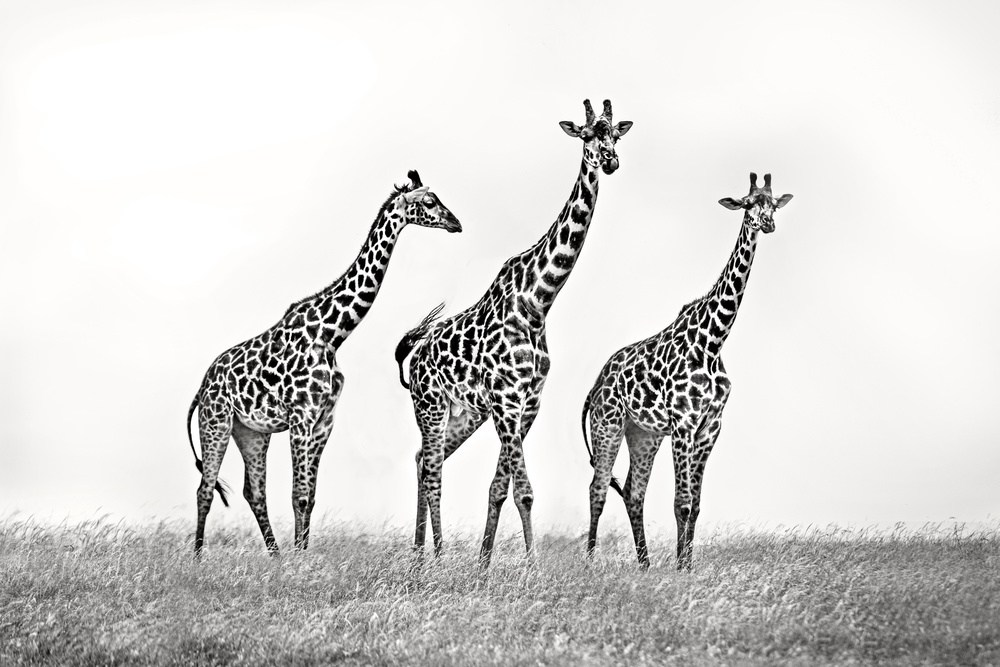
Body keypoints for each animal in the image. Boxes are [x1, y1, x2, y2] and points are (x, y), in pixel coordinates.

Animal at [186, 171, 461, 557]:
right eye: (429, 201)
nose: (456, 223)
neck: (332, 333)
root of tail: (200, 388)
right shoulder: (301, 416)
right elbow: (299, 495)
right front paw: (300, 561)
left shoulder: (324, 420)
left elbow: (310, 496)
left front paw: (301, 555)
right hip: (216, 421)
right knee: (205, 488)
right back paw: (198, 557)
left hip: (251, 432)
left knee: (253, 491)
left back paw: (275, 555)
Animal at [394, 100, 633, 568]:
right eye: (587, 135)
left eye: (616, 134)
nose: (611, 161)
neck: (539, 301)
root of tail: (415, 356)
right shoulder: (507, 399)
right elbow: (523, 491)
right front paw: (532, 567)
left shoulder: (528, 402)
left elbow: (499, 487)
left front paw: (484, 562)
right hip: (429, 406)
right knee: (430, 466)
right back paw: (429, 556)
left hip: (467, 413)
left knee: (421, 460)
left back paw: (420, 552)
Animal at [582, 172, 793, 570]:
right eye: (747, 203)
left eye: (773, 204)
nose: (768, 224)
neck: (713, 341)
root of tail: (594, 386)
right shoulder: (683, 423)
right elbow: (681, 503)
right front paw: (681, 568)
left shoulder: (710, 427)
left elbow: (694, 505)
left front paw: (687, 566)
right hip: (609, 424)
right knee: (598, 488)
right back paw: (588, 562)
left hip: (643, 434)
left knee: (633, 492)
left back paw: (645, 564)